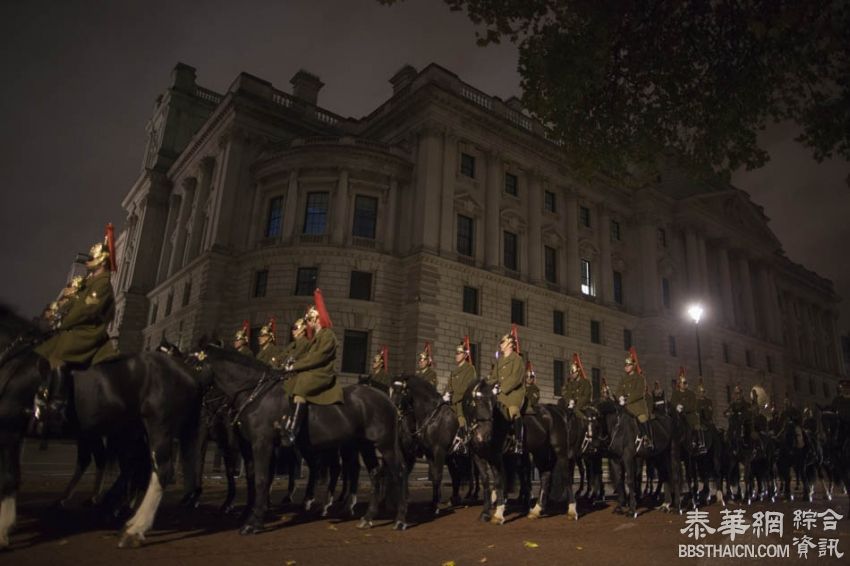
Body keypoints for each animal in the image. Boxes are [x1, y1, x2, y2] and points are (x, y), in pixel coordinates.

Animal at [0, 306, 204, 552]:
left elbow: (9, 477)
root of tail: (190, 373)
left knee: (160, 471)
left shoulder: (10, 427)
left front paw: (3, 530)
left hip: (158, 427)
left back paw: (133, 529)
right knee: (134, 467)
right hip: (132, 433)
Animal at [191, 346, 408, 536]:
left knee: (398, 471)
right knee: (374, 474)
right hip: (364, 445)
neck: (256, 394)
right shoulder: (251, 446)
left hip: (384, 444)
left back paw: (399, 520)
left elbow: (261, 479)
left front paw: (253, 522)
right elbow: (254, 478)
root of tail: (387, 399)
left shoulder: (261, 443)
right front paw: (249, 513)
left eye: (194, 365)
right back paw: (366, 517)